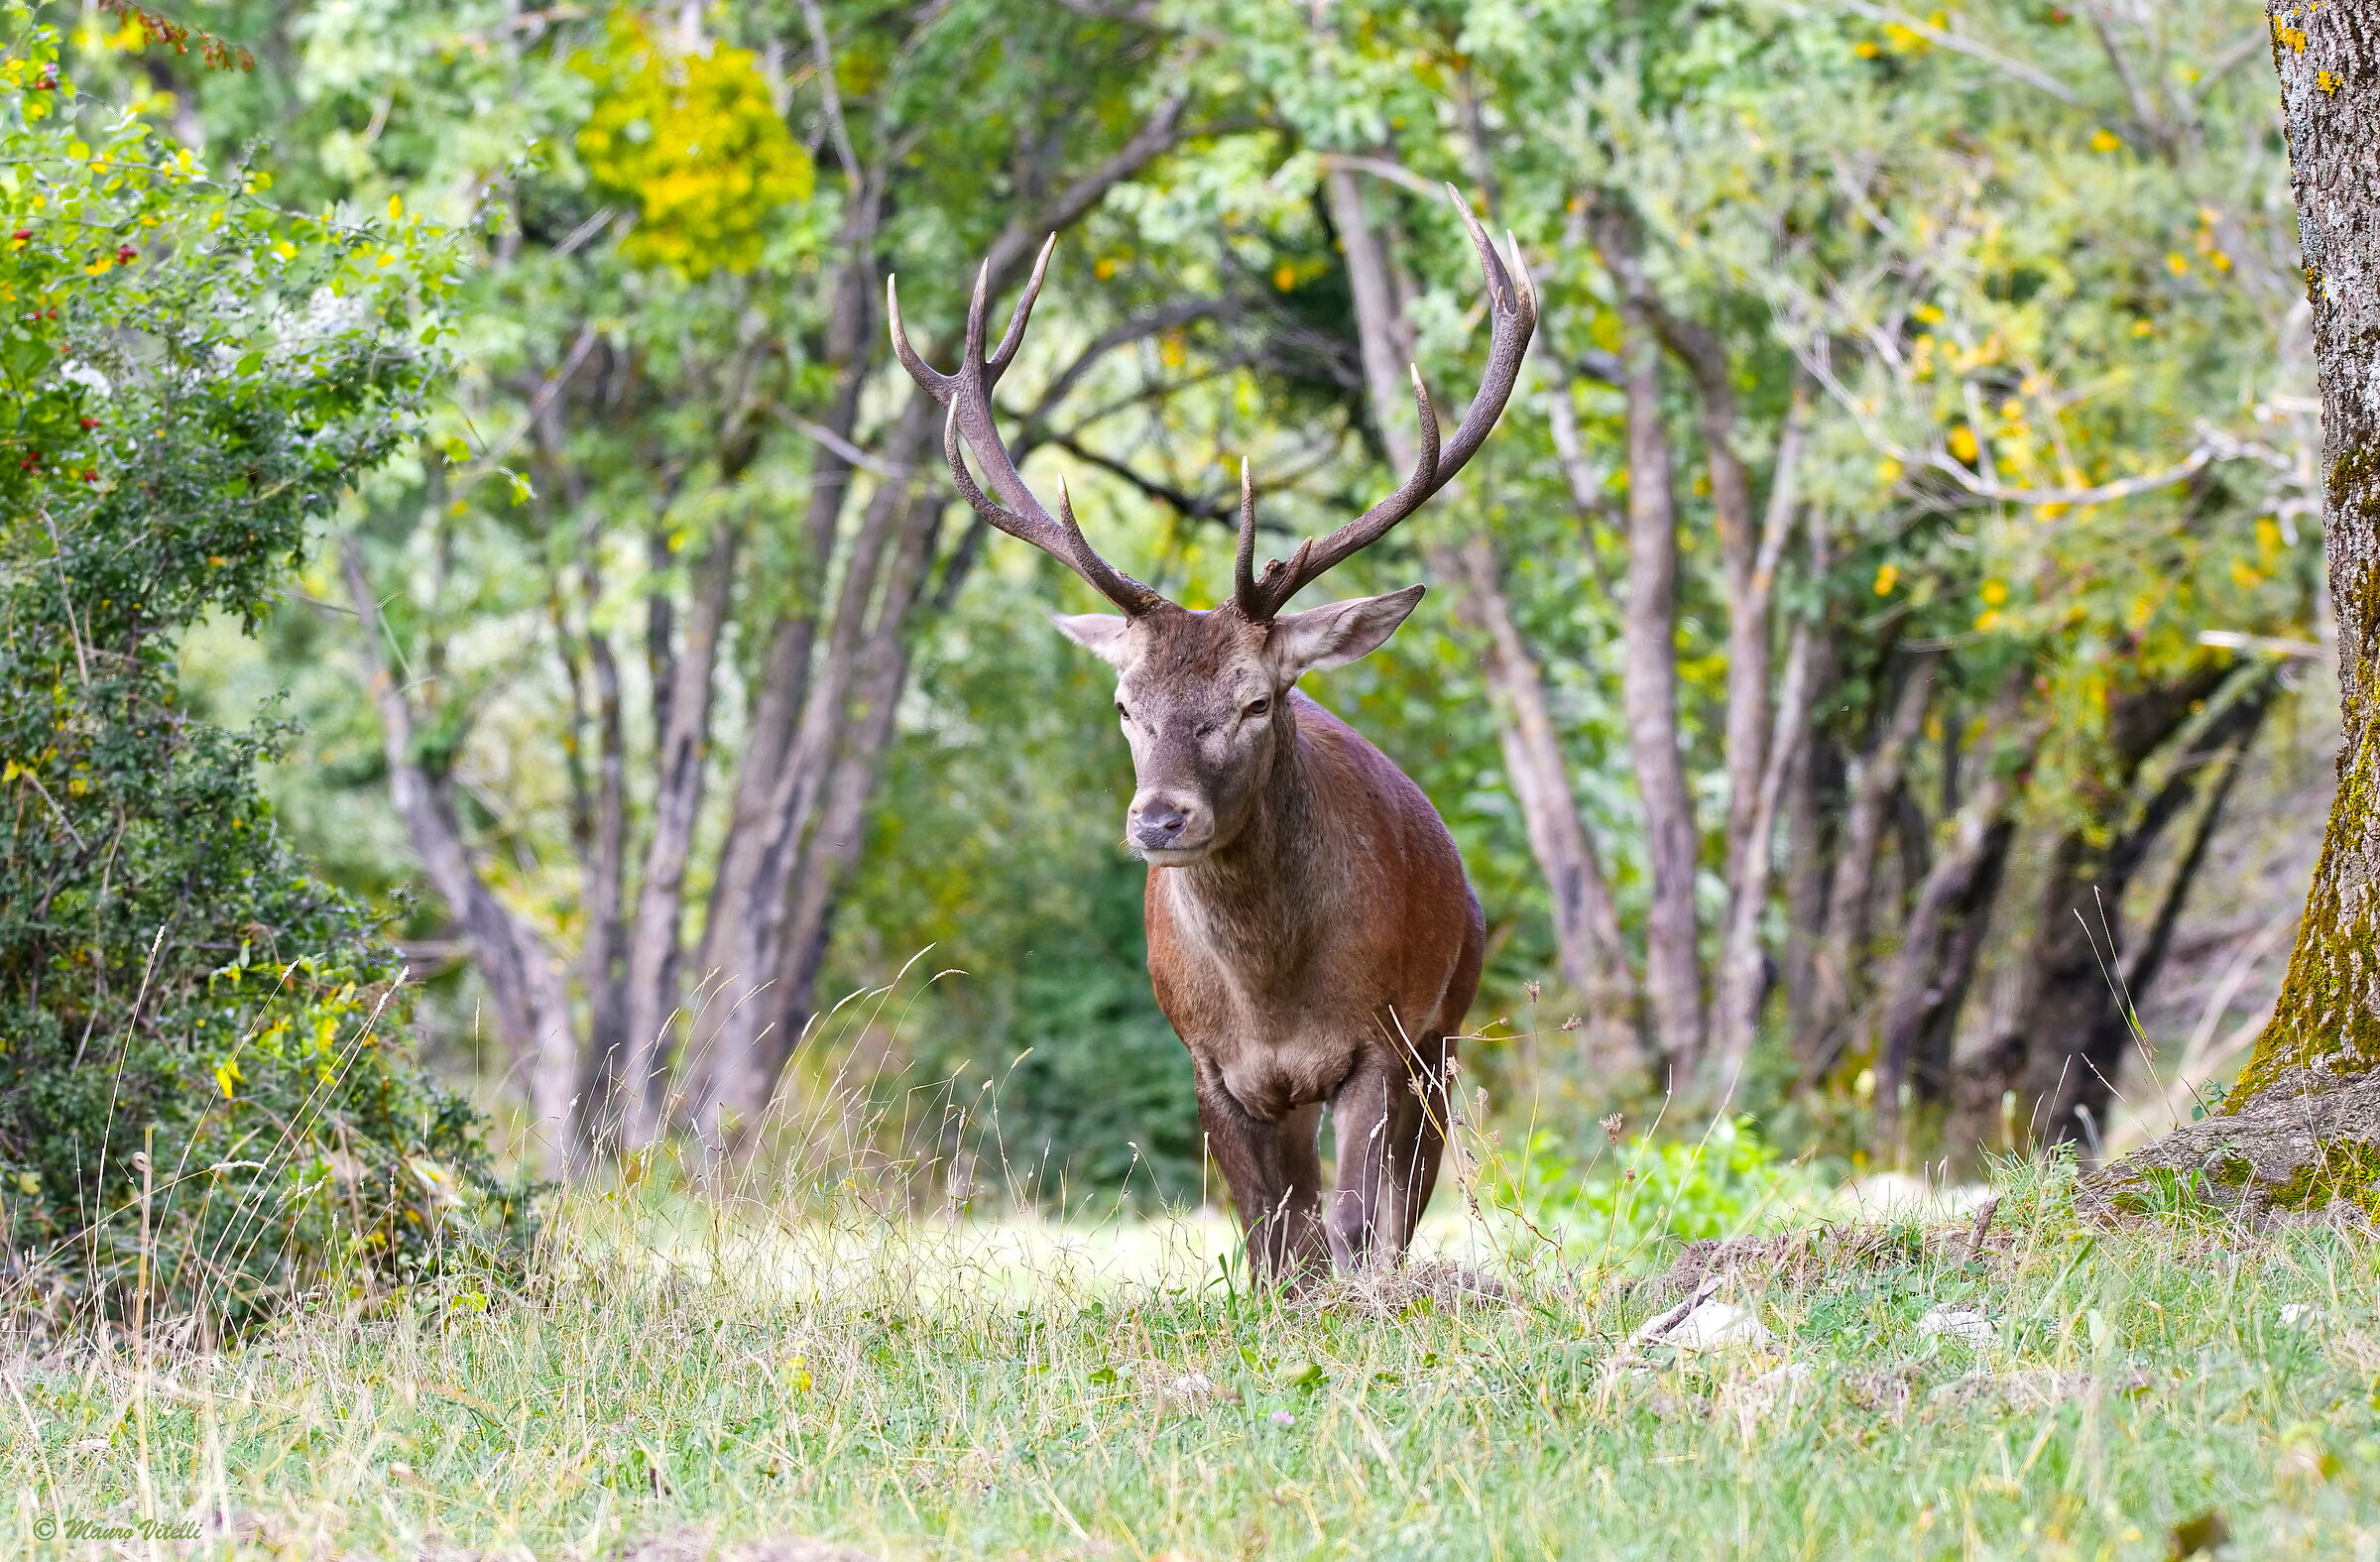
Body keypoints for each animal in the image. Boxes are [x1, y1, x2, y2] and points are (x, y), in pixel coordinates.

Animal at [888, 187, 1536, 1285]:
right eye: (1124, 704)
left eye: (1257, 701)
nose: (1160, 818)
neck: (1274, 1004)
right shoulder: (1208, 1063)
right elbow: (1273, 1239)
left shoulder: (1383, 1039)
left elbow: (1357, 1227)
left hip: (1447, 1022)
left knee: (1402, 1202)